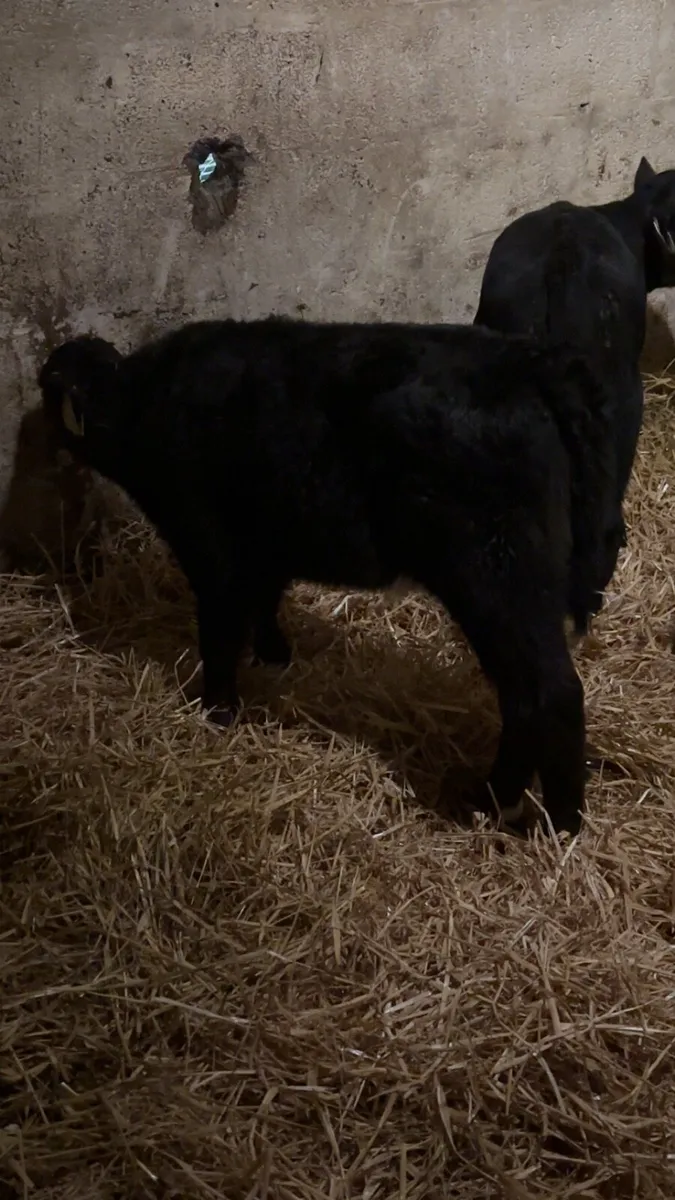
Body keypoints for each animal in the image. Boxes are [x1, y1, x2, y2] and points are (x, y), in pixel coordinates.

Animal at [38, 317, 615, 835]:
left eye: (47, 389)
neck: (142, 402)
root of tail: (529, 365)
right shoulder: (264, 546)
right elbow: (264, 602)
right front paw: (275, 655)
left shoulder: (211, 545)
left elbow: (220, 631)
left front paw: (218, 710)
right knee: (522, 697)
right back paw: (498, 802)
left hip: (498, 578)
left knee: (551, 692)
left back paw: (554, 822)